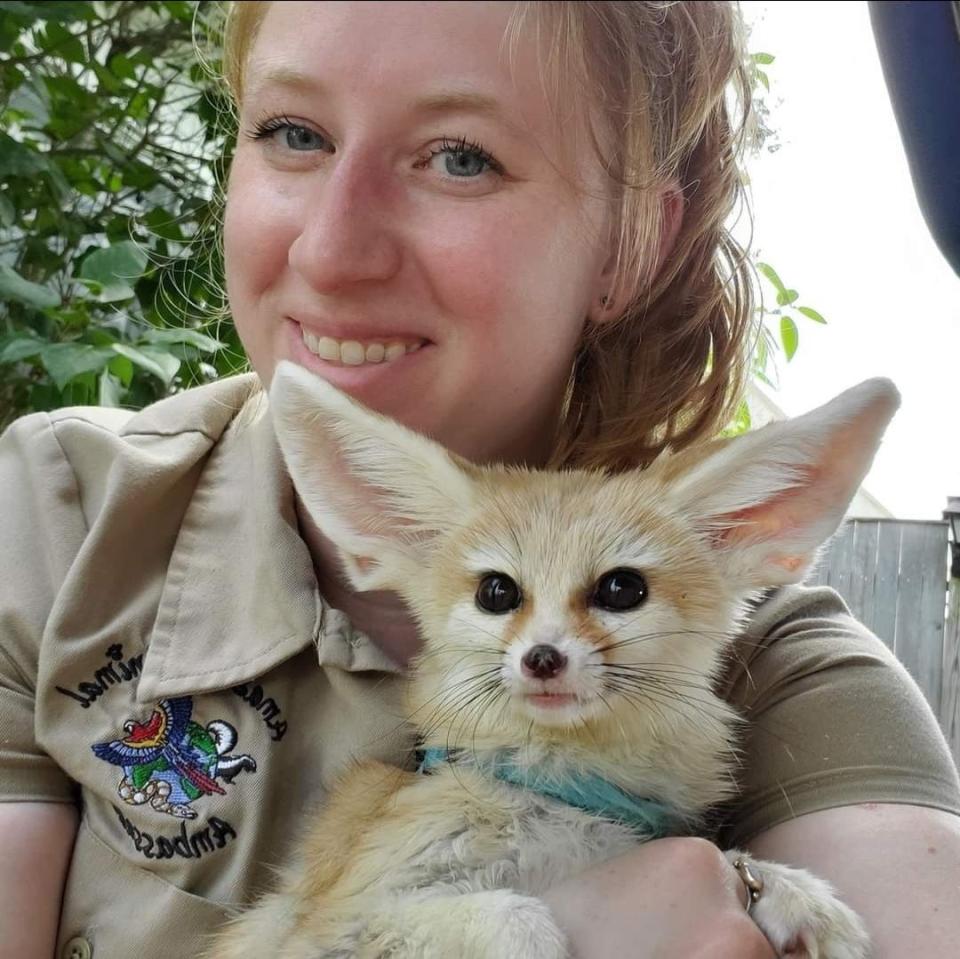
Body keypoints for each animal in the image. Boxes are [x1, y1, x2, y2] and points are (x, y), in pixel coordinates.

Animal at [212, 362, 900, 959]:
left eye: (622, 589)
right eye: (497, 592)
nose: (542, 658)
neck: (561, 793)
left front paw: (792, 890)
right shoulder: (329, 929)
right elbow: (520, 919)